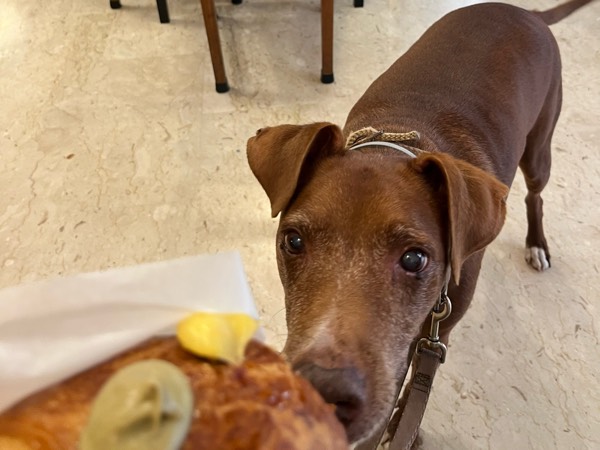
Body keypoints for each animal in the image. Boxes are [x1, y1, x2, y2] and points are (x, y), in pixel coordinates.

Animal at [246, 0, 593, 444]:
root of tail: (528, 12)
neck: (395, 144)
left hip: (539, 149)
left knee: (536, 194)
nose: (319, 392)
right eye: (293, 241)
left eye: (414, 259)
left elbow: (409, 388)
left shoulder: (429, 335)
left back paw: (537, 244)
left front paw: (401, 429)